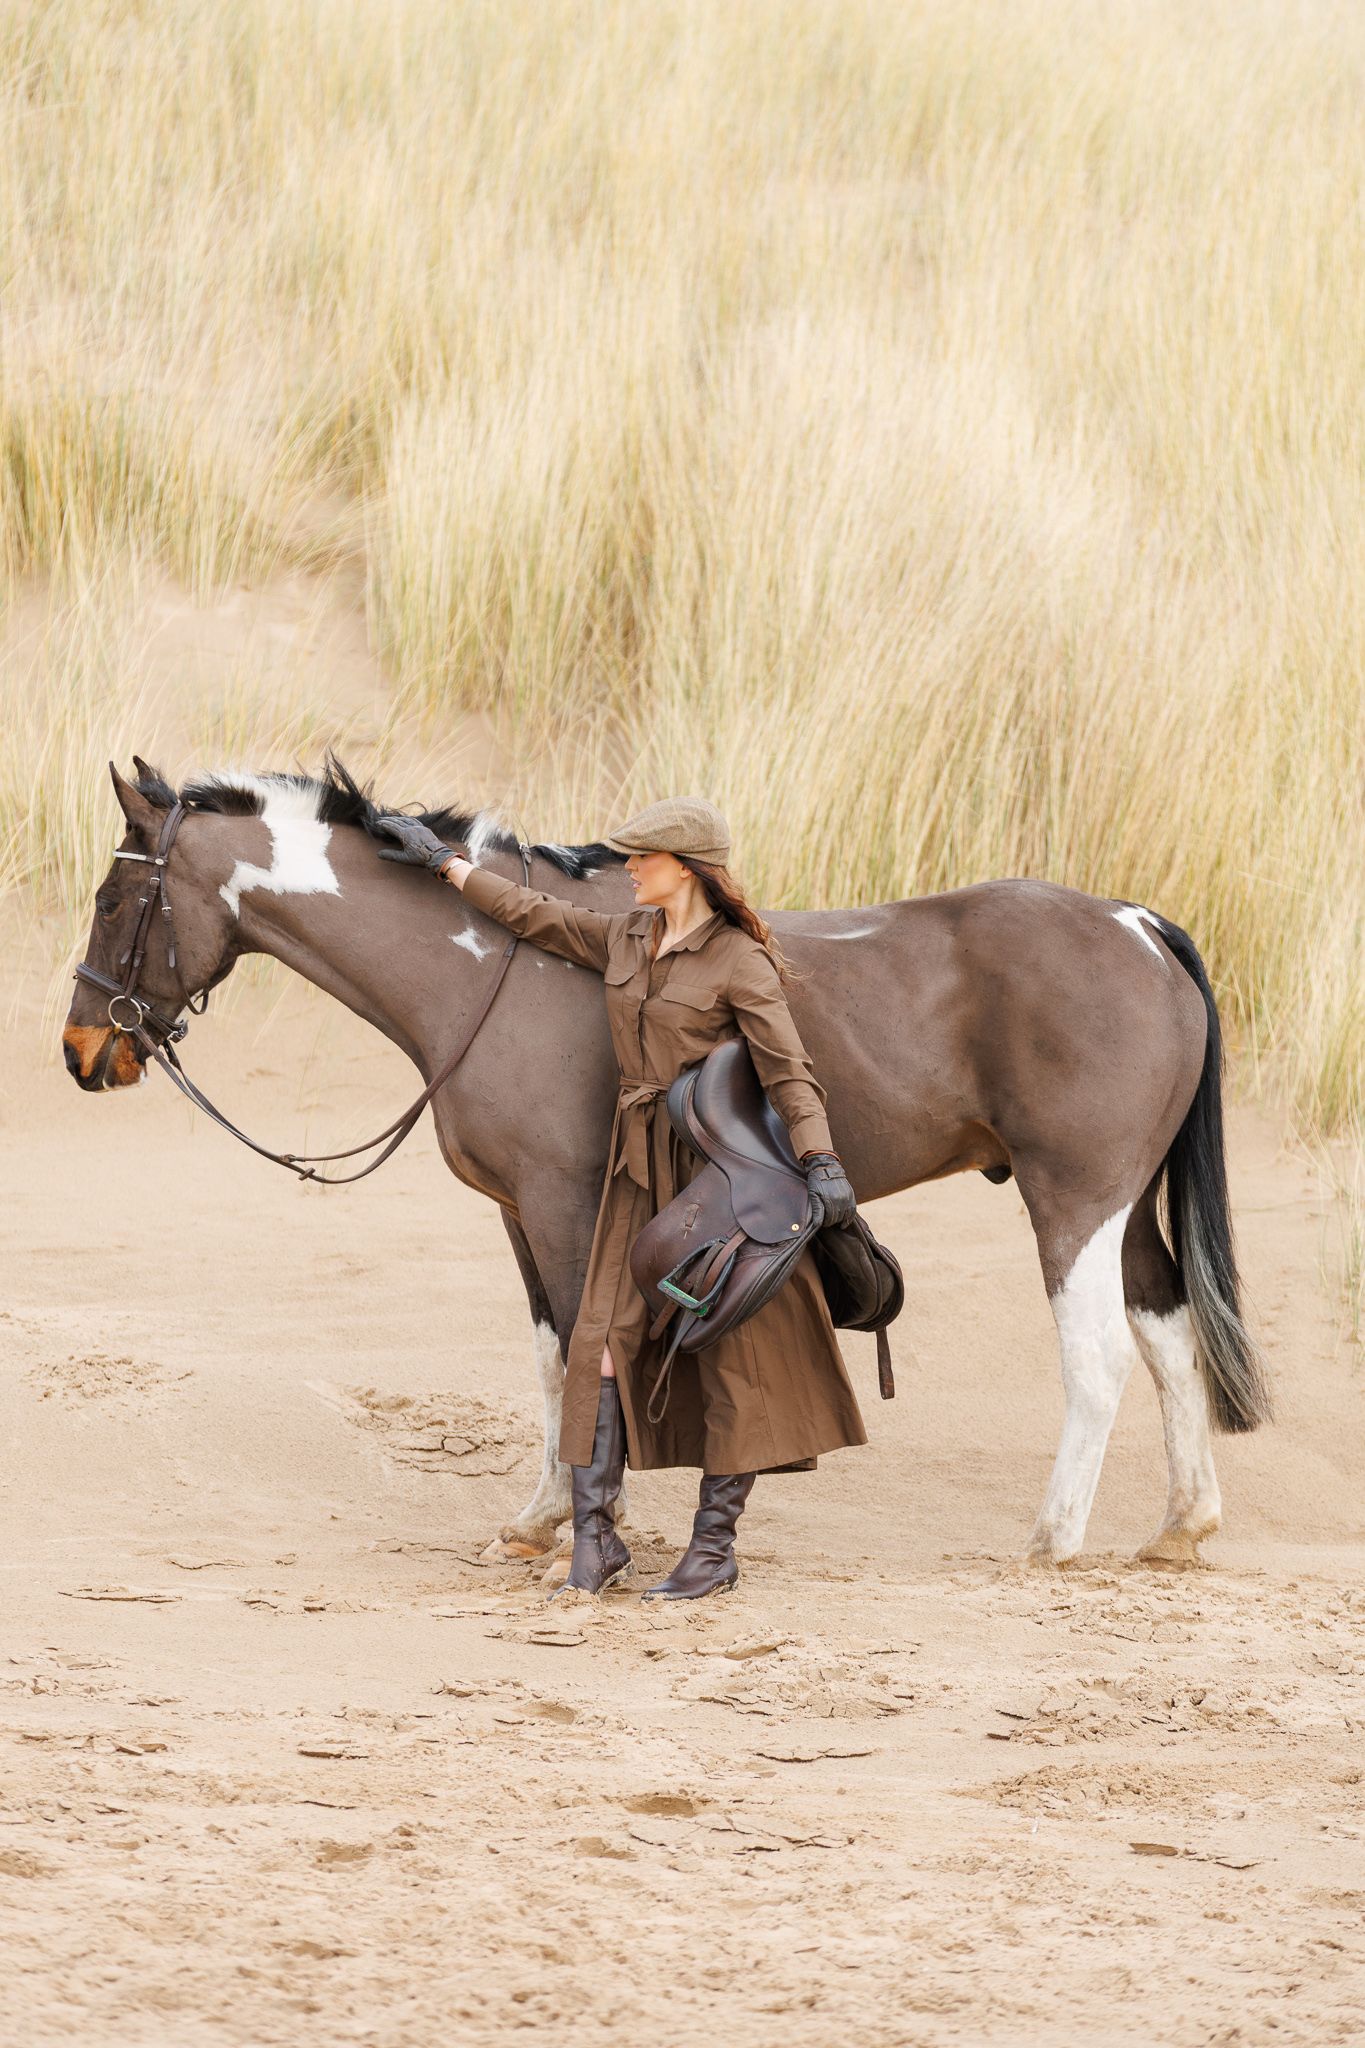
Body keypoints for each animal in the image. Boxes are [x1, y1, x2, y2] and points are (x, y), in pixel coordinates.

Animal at [62, 758, 1271, 1567]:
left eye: (115, 898)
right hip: (1127, 1208)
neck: (496, 968)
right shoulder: (520, 1214)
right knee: (1166, 1335)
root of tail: (1138, 925)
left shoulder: (559, 1203)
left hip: (1075, 1199)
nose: (82, 1051)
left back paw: (1053, 1538)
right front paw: (541, 1517)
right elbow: (551, 1352)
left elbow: (580, 1348)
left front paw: (579, 1527)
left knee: (1099, 1356)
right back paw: (1180, 1527)